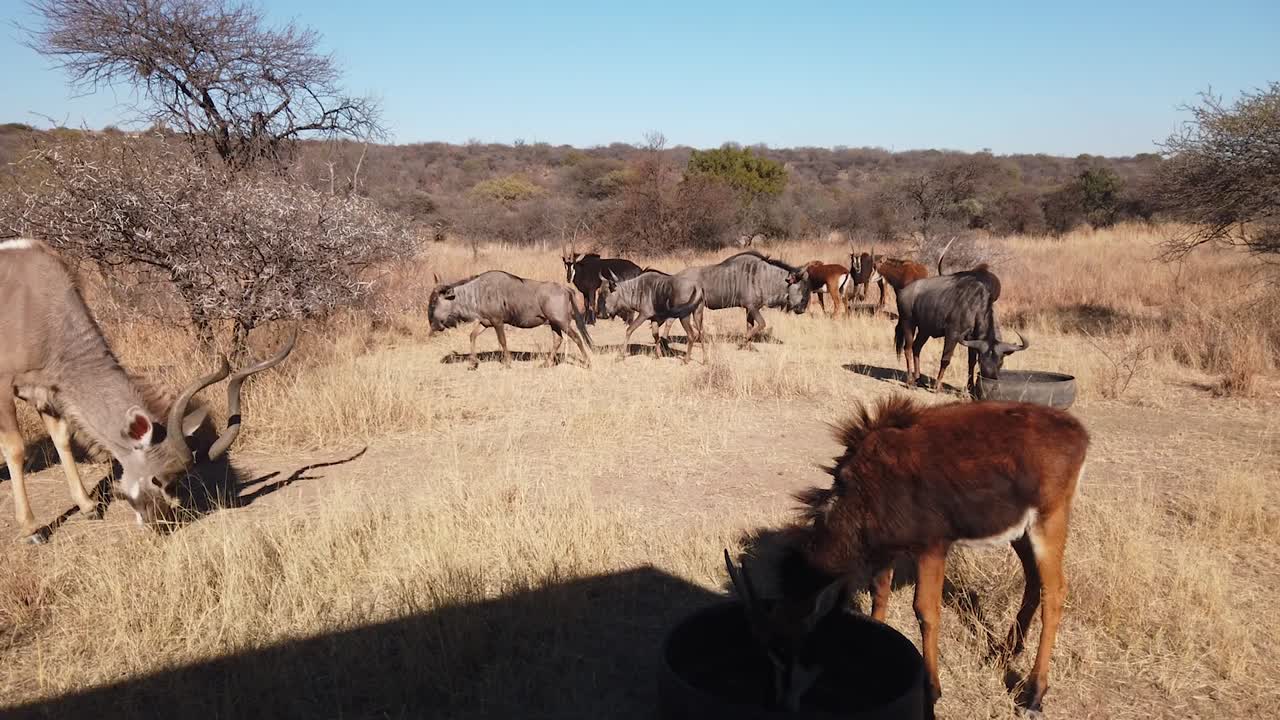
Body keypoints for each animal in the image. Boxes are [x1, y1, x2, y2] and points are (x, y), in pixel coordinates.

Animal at [0, 238, 296, 543]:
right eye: (157, 479)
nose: (158, 523)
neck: (40, 304)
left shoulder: (46, 390)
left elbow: (62, 439)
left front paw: (88, 507)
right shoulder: (5, 387)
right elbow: (15, 449)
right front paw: (32, 529)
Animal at [428, 271, 592, 370]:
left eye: (434, 301)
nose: (433, 326)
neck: (477, 292)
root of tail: (566, 289)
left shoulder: (497, 322)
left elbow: (502, 341)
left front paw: (507, 363)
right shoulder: (485, 322)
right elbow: (472, 336)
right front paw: (472, 363)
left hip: (561, 322)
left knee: (577, 338)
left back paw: (587, 363)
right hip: (554, 323)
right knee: (557, 340)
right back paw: (546, 363)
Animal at [724, 393, 1089, 716]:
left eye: (789, 649)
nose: (781, 705)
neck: (868, 483)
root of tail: (1075, 430)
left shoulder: (932, 548)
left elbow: (925, 612)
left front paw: (933, 689)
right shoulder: (884, 550)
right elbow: (880, 595)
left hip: (1049, 520)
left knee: (1055, 592)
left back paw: (1034, 695)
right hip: (1020, 531)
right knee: (1033, 581)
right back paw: (1004, 653)